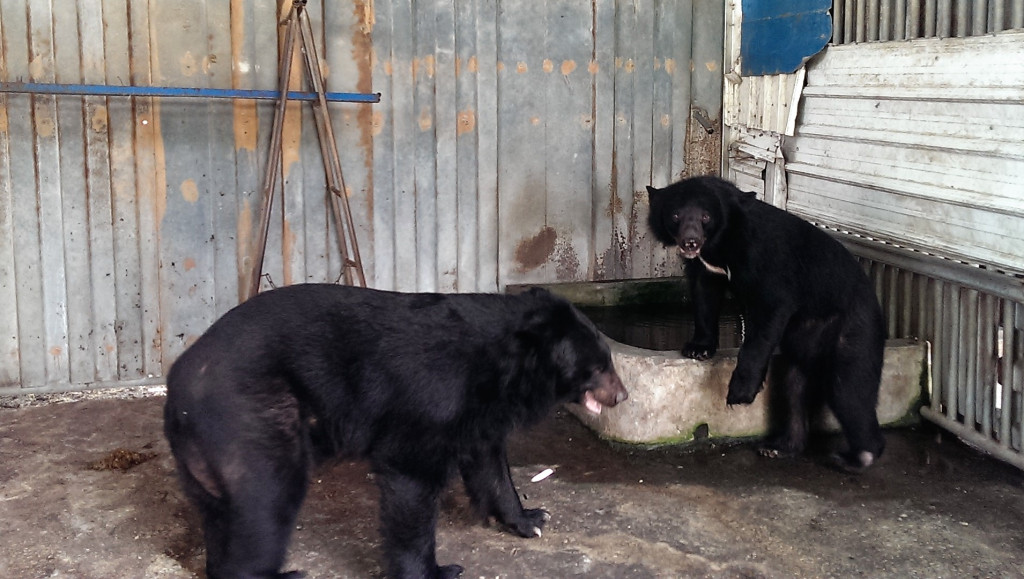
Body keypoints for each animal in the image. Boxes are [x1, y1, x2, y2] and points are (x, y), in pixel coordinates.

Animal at [163, 284, 626, 577]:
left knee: (221, 515)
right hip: (255, 420)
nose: (622, 396)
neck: (506, 366)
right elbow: (412, 480)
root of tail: (178, 388)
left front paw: (530, 518)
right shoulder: (431, 399)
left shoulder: (479, 412)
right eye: (600, 366)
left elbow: (490, 464)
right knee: (266, 504)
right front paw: (436, 570)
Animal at [651, 176, 884, 469]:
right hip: (806, 341)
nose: (691, 242)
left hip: (853, 328)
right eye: (675, 215)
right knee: (795, 386)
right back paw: (779, 447)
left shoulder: (766, 261)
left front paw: (739, 393)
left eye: (705, 216)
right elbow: (704, 296)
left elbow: (770, 311)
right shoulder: (708, 268)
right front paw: (697, 348)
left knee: (850, 389)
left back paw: (856, 457)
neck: (720, 244)